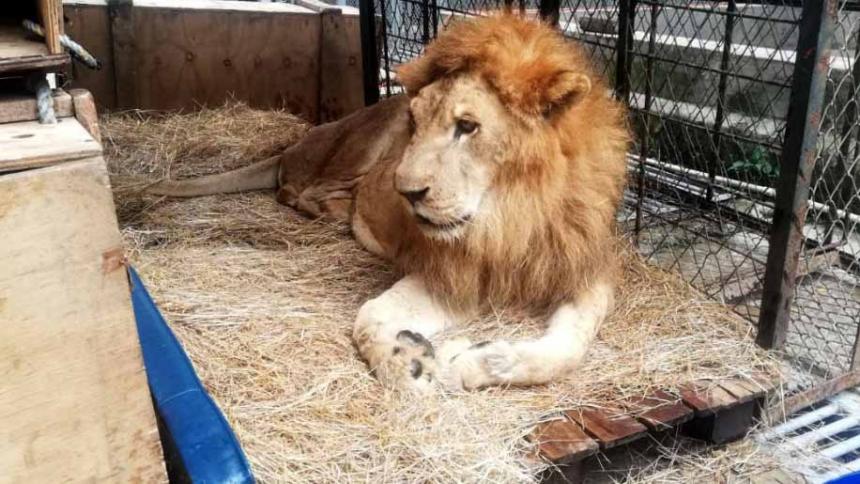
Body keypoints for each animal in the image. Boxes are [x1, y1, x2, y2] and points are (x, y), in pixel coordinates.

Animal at [149, 14, 630, 393]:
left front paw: (482, 360)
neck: (511, 216)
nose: (406, 191)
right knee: (300, 191)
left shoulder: (586, 268)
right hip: (362, 144)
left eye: (467, 126)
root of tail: (296, 146)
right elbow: (369, 318)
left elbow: (571, 345)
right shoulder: (452, 273)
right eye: (416, 122)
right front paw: (411, 362)